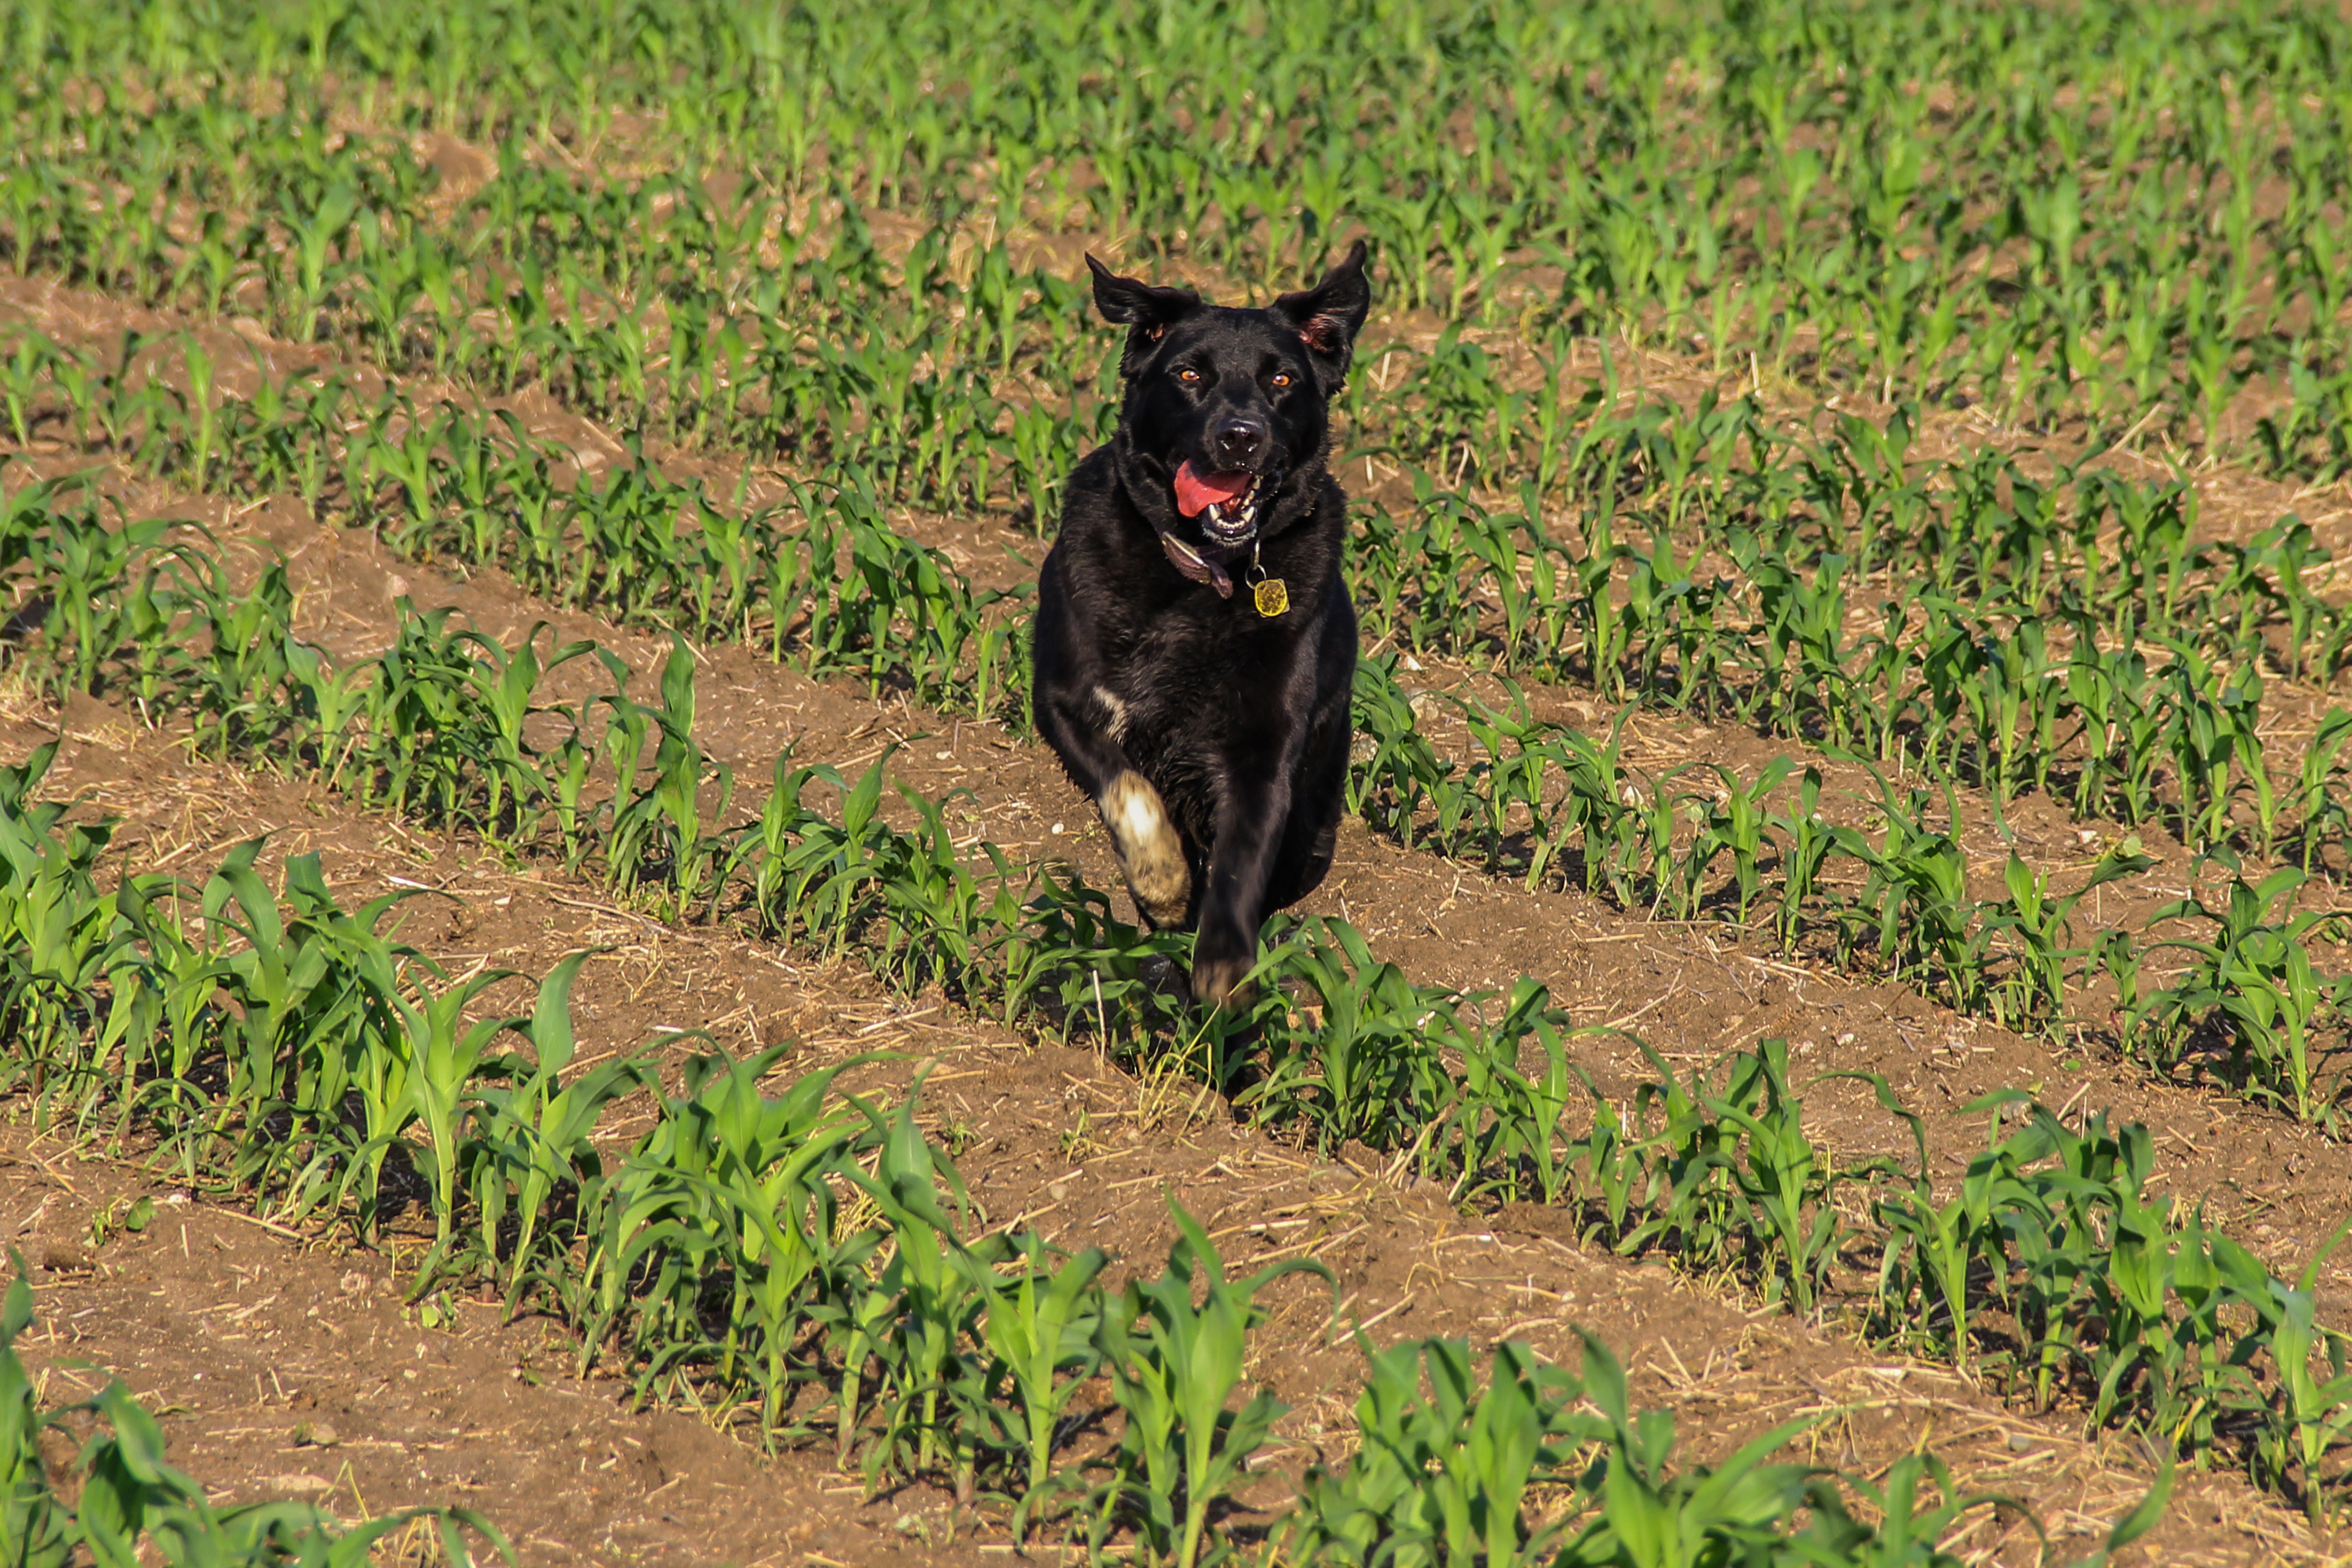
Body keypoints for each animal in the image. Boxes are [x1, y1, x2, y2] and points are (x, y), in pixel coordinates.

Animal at [1034, 243, 1373, 1006]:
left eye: (1281, 379)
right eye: (1190, 375)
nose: (1241, 437)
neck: (1205, 576)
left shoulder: (1264, 752)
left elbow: (1240, 864)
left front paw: (1224, 968)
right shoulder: (1064, 703)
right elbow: (1129, 790)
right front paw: (1162, 884)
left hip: (1315, 828)